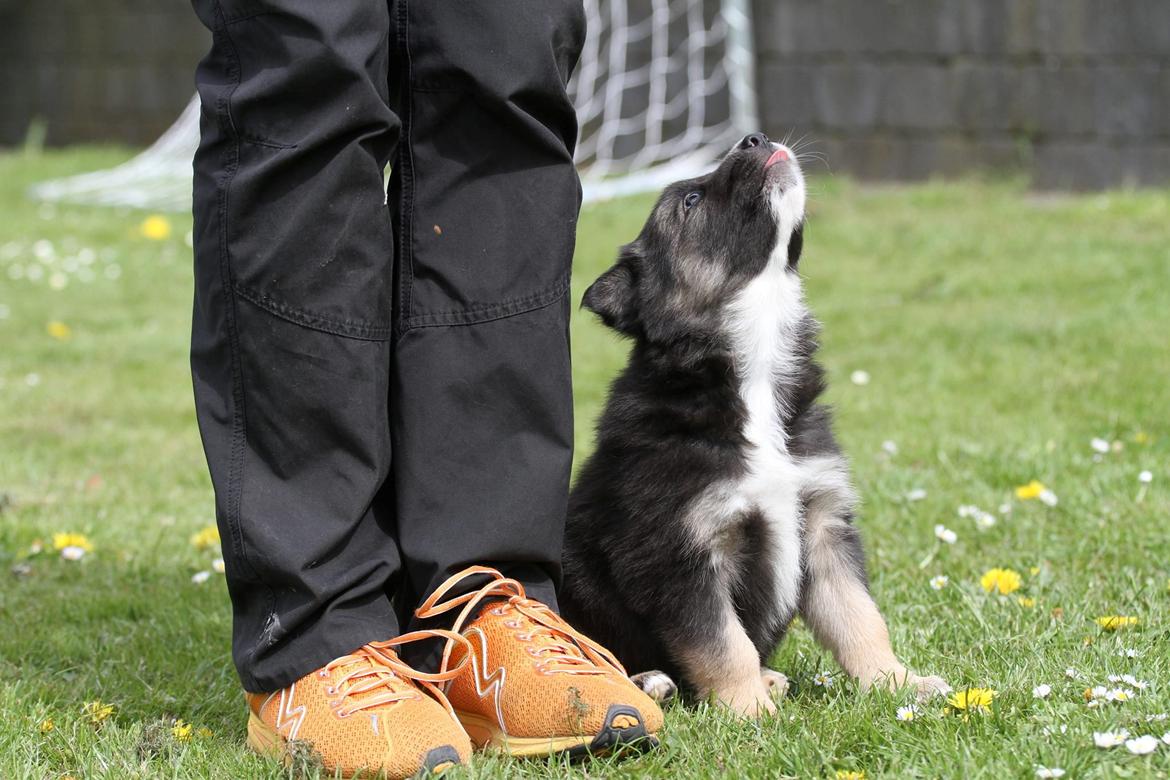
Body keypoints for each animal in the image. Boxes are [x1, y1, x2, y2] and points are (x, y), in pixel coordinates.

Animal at [559, 134, 950, 720]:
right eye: (690, 201)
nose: (755, 139)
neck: (755, 366)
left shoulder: (822, 519)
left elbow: (859, 617)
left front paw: (898, 684)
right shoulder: (680, 548)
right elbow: (722, 642)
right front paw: (748, 711)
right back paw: (651, 682)